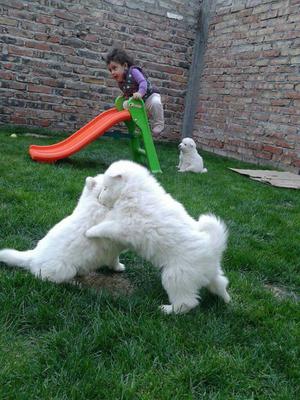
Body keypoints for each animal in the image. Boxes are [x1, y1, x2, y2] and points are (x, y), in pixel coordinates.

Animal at [85, 161, 231, 314]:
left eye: (106, 187)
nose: (99, 199)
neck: (133, 192)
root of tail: (213, 247)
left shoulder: (125, 226)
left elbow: (106, 226)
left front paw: (90, 231)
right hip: (210, 274)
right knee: (221, 283)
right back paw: (227, 299)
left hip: (176, 276)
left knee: (186, 302)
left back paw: (166, 309)